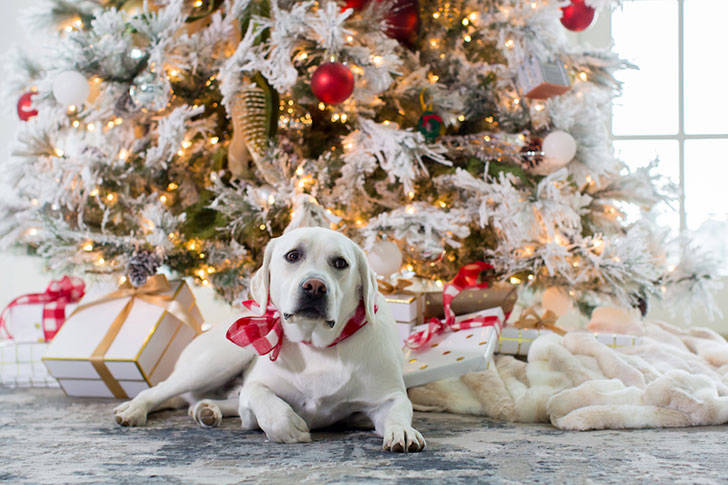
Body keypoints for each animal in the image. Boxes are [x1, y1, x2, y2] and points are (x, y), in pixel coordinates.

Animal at [111, 229, 424, 452]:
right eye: (293, 256)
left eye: (340, 263)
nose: (314, 286)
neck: (317, 346)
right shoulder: (255, 396)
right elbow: (262, 399)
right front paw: (288, 427)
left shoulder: (388, 397)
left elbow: (398, 411)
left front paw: (402, 431)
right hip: (218, 360)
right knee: (161, 390)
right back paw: (135, 409)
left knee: (207, 401)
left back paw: (207, 410)